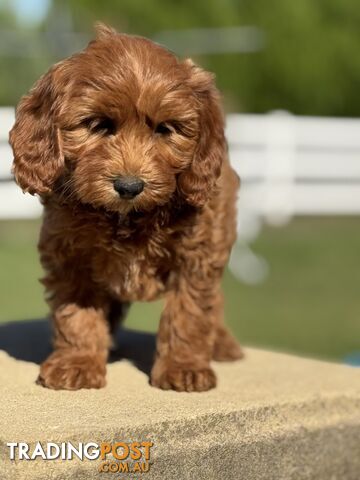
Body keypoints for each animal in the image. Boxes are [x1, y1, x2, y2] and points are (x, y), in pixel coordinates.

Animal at [9, 24, 242, 392]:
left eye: (165, 129)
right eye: (99, 125)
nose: (129, 187)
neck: (127, 218)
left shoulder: (196, 254)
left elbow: (189, 312)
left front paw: (183, 368)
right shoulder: (70, 255)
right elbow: (77, 313)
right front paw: (77, 362)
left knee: (213, 301)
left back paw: (221, 342)